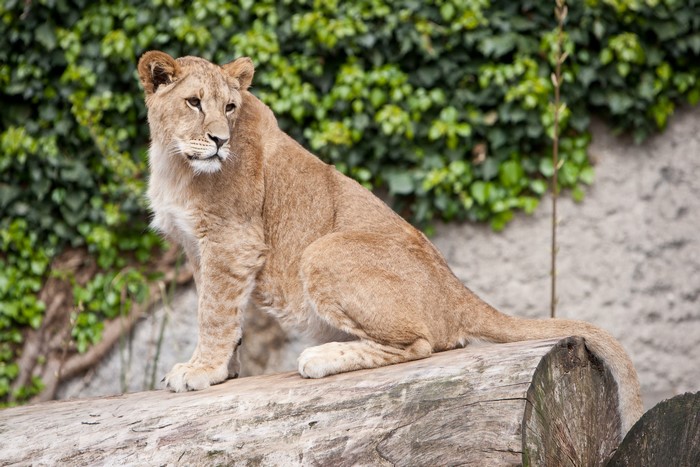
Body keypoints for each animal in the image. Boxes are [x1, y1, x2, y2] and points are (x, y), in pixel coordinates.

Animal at [137, 51, 643, 434]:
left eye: (230, 107)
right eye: (194, 103)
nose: (220, 141)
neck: (174, 161)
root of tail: (455, 291)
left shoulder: (232, 239)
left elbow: (214, 313)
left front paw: (201, 371)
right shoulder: (198, 248)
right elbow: (220, 312)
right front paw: (223, 369)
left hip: (322, 251)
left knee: (422, 344)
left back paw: (323, 357)